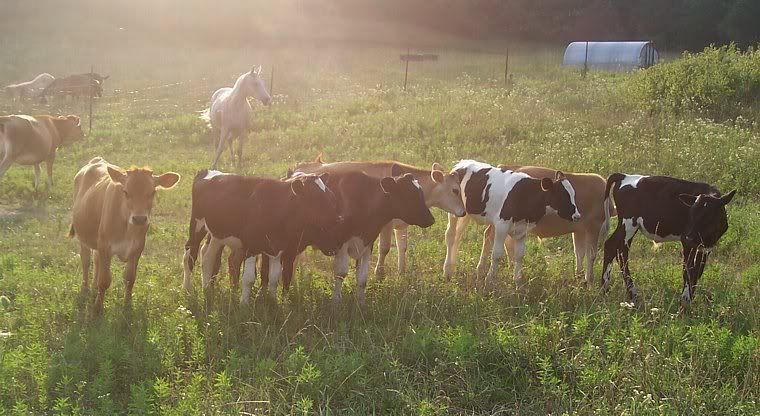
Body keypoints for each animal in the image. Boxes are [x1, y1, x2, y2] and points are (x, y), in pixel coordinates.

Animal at [69, 157, 180, 314]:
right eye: (126, 192)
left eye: (152, 192)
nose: (139, 219)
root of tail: (97, 160)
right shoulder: (105, 247)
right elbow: (105, 280)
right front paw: (97, 308)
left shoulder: (137, 249)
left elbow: (130, 278)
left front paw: (127, 305)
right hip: (83, 238)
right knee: (86, 262)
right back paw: (85, 290)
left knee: (96, 261)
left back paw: (93, 287)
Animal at [181, 170, 342, 304]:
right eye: (316, 198)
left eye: (332, 195)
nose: (338, 218)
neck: (277, 207)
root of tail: (207, 172)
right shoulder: (252, 247)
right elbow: (249, 278)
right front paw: (244, 304)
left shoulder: (277, 248)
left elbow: (274, 277)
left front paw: (272, 302)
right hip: (197, 226)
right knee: (190, 256)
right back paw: (188, 289)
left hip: (217, 234)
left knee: (208, 257)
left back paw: (207, 289)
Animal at [289, 155, 466, 276]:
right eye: (455, 190)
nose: (463, 212)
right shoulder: (385, 225)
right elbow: (385, 248)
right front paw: (379, 273)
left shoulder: (400, 225)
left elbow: (402, 247)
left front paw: (401, 272)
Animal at [443, 160, 581, 289]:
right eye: (562, 195)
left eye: (573, 194)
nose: (577, 216)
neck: (525, 195)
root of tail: (461, 163)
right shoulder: (502, 225)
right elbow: (497, 254)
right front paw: (490, 281)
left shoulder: (522, 229)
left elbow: (519, 255)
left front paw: (518, 284)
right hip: (454, 212)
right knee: (451, 235)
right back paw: (448, 271)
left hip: (465, 214)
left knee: (462, 236)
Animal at [601, 173, 735, 306]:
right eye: (691, 212)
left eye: (709, 215)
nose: (689, 237)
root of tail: (624, 175)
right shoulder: (687, 243)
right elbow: (688, 270)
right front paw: (685, 300)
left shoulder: (706, 247)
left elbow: (698, 271)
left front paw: (691, 299)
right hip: (628, 224)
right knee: (612, 247)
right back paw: (611, 290)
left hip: (630, 227)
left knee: (620, 252)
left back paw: (623, 292)